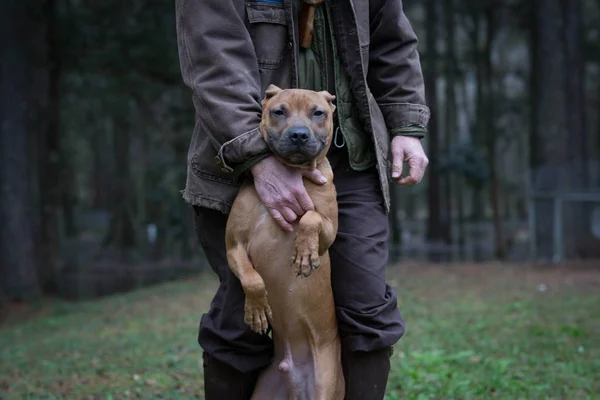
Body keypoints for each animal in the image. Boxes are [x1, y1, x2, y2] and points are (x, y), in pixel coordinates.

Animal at [224, 86, 342, 398]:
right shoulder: (233, 245)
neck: (295, 172)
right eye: (279, 111)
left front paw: (304, 253)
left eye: (318, 112)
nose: (298, 135)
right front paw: (255, 310)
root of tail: (292, 370)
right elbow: (252, 279)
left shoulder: (329, 231)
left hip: (326, 386)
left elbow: (311, 217)